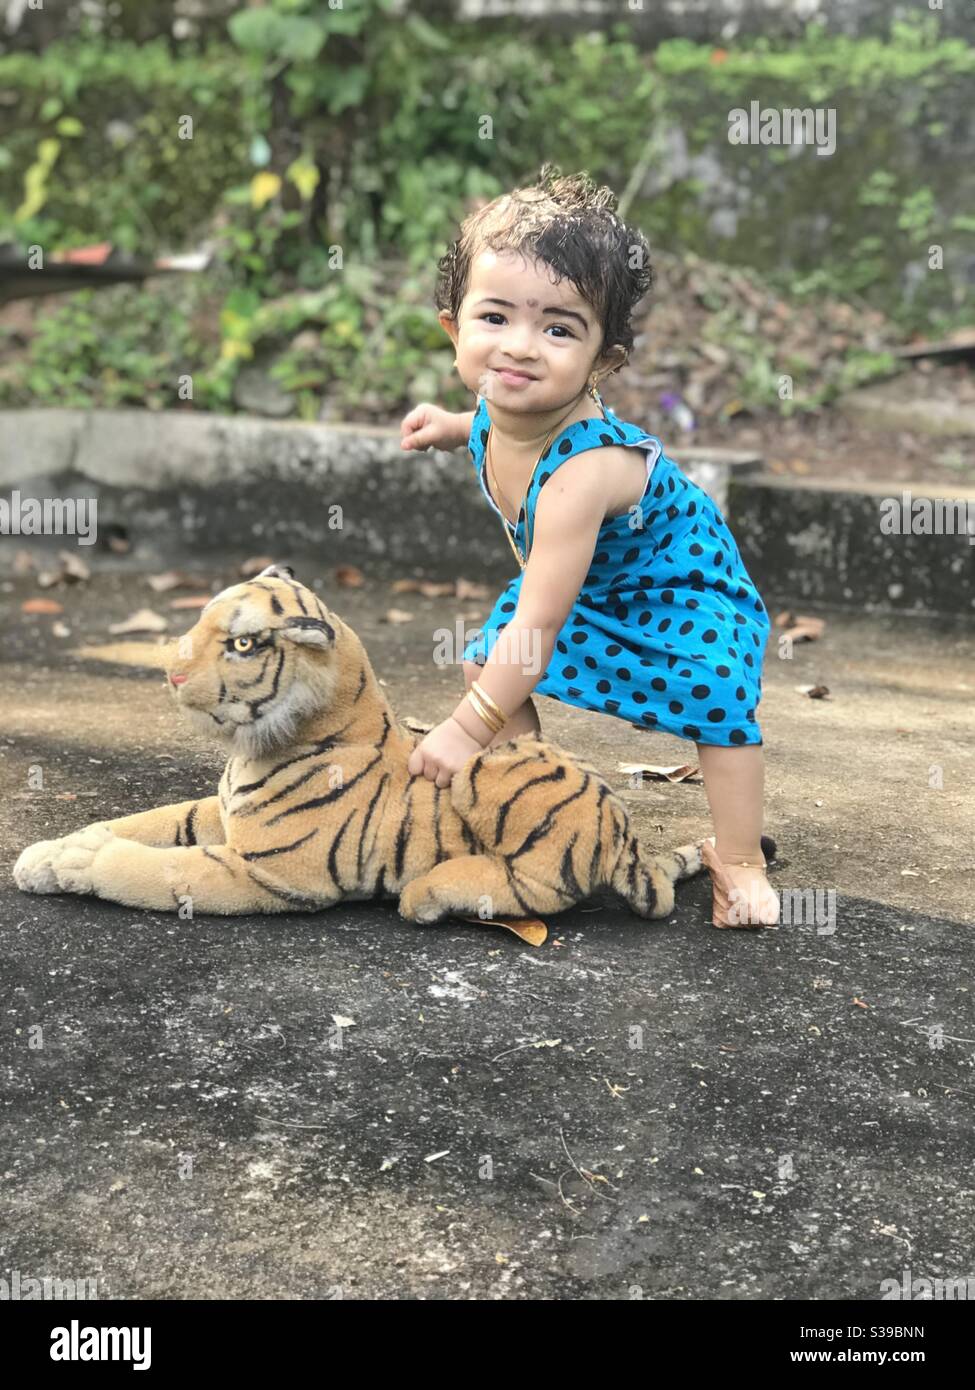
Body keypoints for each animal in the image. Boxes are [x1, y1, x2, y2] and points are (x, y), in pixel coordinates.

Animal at [12, 564, 742, 931]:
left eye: (241, 644)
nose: (170, 673)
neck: (258, 748)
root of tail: (624, 832)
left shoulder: (265, 872)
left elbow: (148, 869)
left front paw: (83, 863)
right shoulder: (215, 813)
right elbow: (141, 823)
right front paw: (49, 853)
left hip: (490, 768)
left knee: (536, 889)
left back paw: (431, 894)